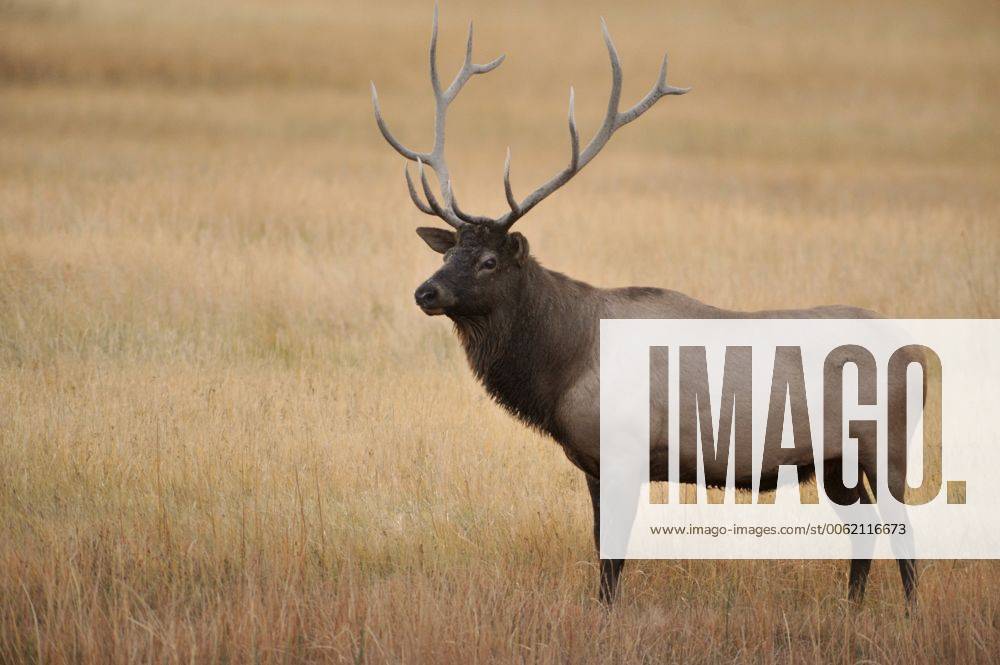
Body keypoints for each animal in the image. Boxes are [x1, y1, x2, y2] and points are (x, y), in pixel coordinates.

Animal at [371, 5, 919, 606]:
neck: (562, 366)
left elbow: (613, 557)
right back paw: (853, 607)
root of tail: (918, 354)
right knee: (864, 526)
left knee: (904, 529)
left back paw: (910, 613)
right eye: (451, 252)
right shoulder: (591, 463)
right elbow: (600, 549)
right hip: (834, 461)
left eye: (490, 261)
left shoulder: (625, 450)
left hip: (887, 445)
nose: (426, 292)